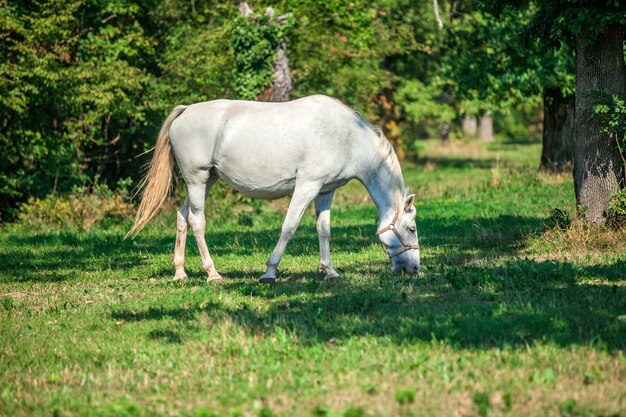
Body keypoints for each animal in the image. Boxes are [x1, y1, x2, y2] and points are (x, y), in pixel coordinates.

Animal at [125, 94, 420, 282]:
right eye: (412, 228)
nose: (414, 269)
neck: (346, 137)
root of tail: (185, 110)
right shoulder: (306, 187)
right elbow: (288, 228)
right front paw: (269, 272)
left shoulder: (325, 191)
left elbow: (323, 229)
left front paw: (329, 271)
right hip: (196, 179)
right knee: (198, 222)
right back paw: (212, 273)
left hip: (208, 180)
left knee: (182, 217)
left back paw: (180, 273)